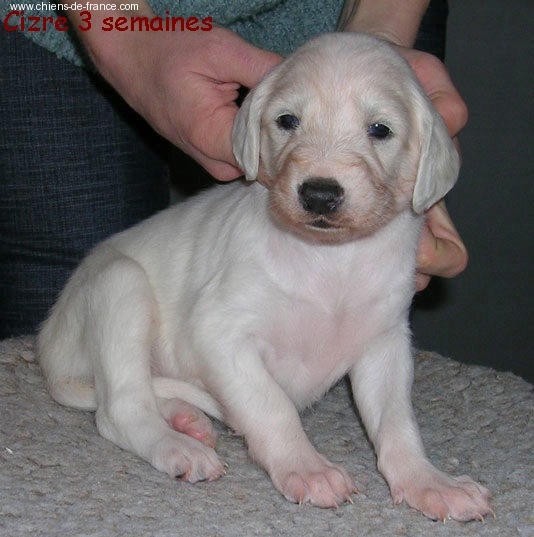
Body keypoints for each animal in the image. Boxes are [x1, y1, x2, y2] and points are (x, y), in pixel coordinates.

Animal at [38, 33, 492, 522]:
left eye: (380, 130)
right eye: (287, 120)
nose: (319, 195)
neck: (331, 260)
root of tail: (49, 350)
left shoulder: (384, 343)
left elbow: (396, 423)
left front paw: (430, 482)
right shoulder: (220, 335)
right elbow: (272, 405)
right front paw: (308, 468)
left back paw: (185, 419)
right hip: (120, 287)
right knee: (119, 407)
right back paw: (178, 446)